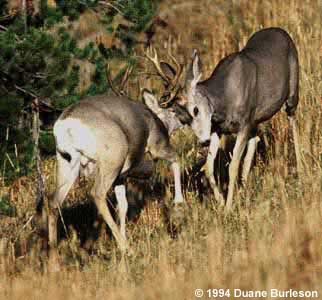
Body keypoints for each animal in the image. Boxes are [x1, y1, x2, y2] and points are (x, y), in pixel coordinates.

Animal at [47, 91, 184, 253]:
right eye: (173, 110)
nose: (184, 120)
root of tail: (66, 124)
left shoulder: (120, 177)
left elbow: (123, 206)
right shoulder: (156, 148)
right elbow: (176, 160)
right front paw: (179, 202)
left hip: (67, 163)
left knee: (54, 202)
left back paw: (53, 253)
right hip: (114, 157)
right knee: (97, 193)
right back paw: (125, 247)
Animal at [151, 28, 302, 211]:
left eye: (195, 110)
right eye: (183, 120)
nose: (202, 141)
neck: (225, 100)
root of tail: (282, 31)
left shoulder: (244, 122)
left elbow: (233, 166)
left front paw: (229, 207)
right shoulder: (218, 129)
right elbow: (209, 167)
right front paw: (221, 201)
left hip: (292, 92)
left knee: (293, 122)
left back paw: (302, 171)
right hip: (256, 119)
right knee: (255, 139)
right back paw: (244, 187)